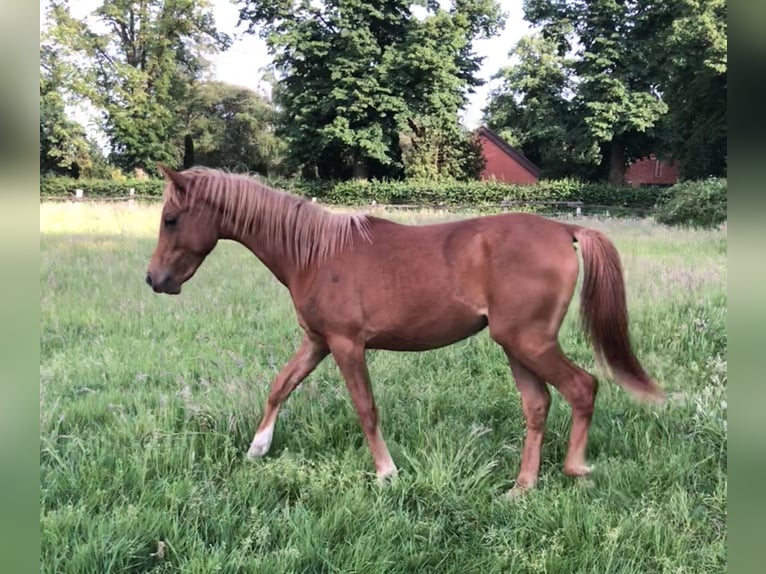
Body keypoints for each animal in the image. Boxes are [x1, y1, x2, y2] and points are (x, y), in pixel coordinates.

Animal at [147, 165, 664, 496]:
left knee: (583, 387)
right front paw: (257, 449)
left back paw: (574, 468)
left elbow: (365, 408)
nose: (154, 280)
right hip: (517, 346)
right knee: (538, 406)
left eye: (171, 219)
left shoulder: (346, 345)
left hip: (528, 342)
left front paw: (385, 472)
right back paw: (521, 488)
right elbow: (280, 386)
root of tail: (565, 230)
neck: (313, 253)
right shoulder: (316, 342)